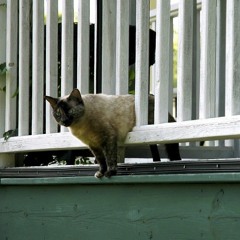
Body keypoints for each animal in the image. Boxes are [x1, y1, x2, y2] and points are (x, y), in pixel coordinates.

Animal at [44, 88, 180, 178]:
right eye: (58, 113)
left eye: (69, 111)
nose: (64, 121)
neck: (80, 127)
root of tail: (152, 95)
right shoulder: (93, 145)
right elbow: (101, 161)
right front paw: (100, 173)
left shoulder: (108, 138)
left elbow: (110, 158)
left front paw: (110, 173)